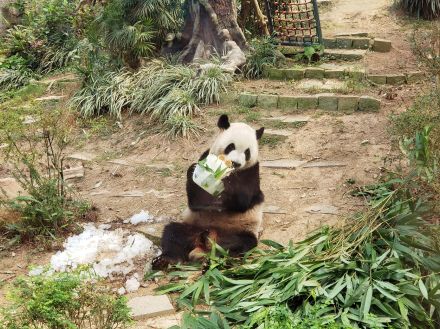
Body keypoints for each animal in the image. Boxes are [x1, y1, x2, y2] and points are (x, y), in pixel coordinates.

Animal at [153, 113, 264, 270]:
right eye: (231, 146)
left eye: (247, 152)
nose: (235, 163)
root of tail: (204, 244)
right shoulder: (205, 157)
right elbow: (195, 201)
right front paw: (195, 170)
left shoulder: (251, 171)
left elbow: (243, 201)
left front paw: (228, 180)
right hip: (194, 227)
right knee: (173, 233)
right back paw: (165, 260)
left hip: (240, 230)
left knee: (241, 244)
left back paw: (216, 259)